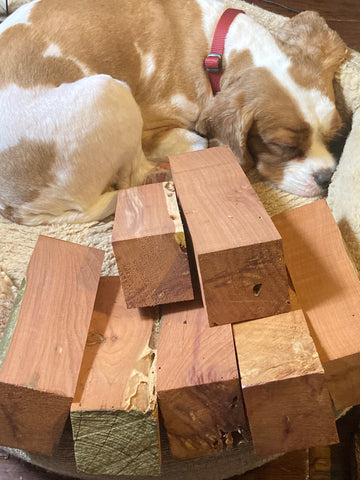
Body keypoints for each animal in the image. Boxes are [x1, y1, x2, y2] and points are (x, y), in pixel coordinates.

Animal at [0, 0, 348, 225]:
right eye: (284, 146)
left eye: (335, 135)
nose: (329, 178)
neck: (216, 47)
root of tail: (15, 207)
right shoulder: (153, 126)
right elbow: (197, 139)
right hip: (109, 93)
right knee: (131, 177)